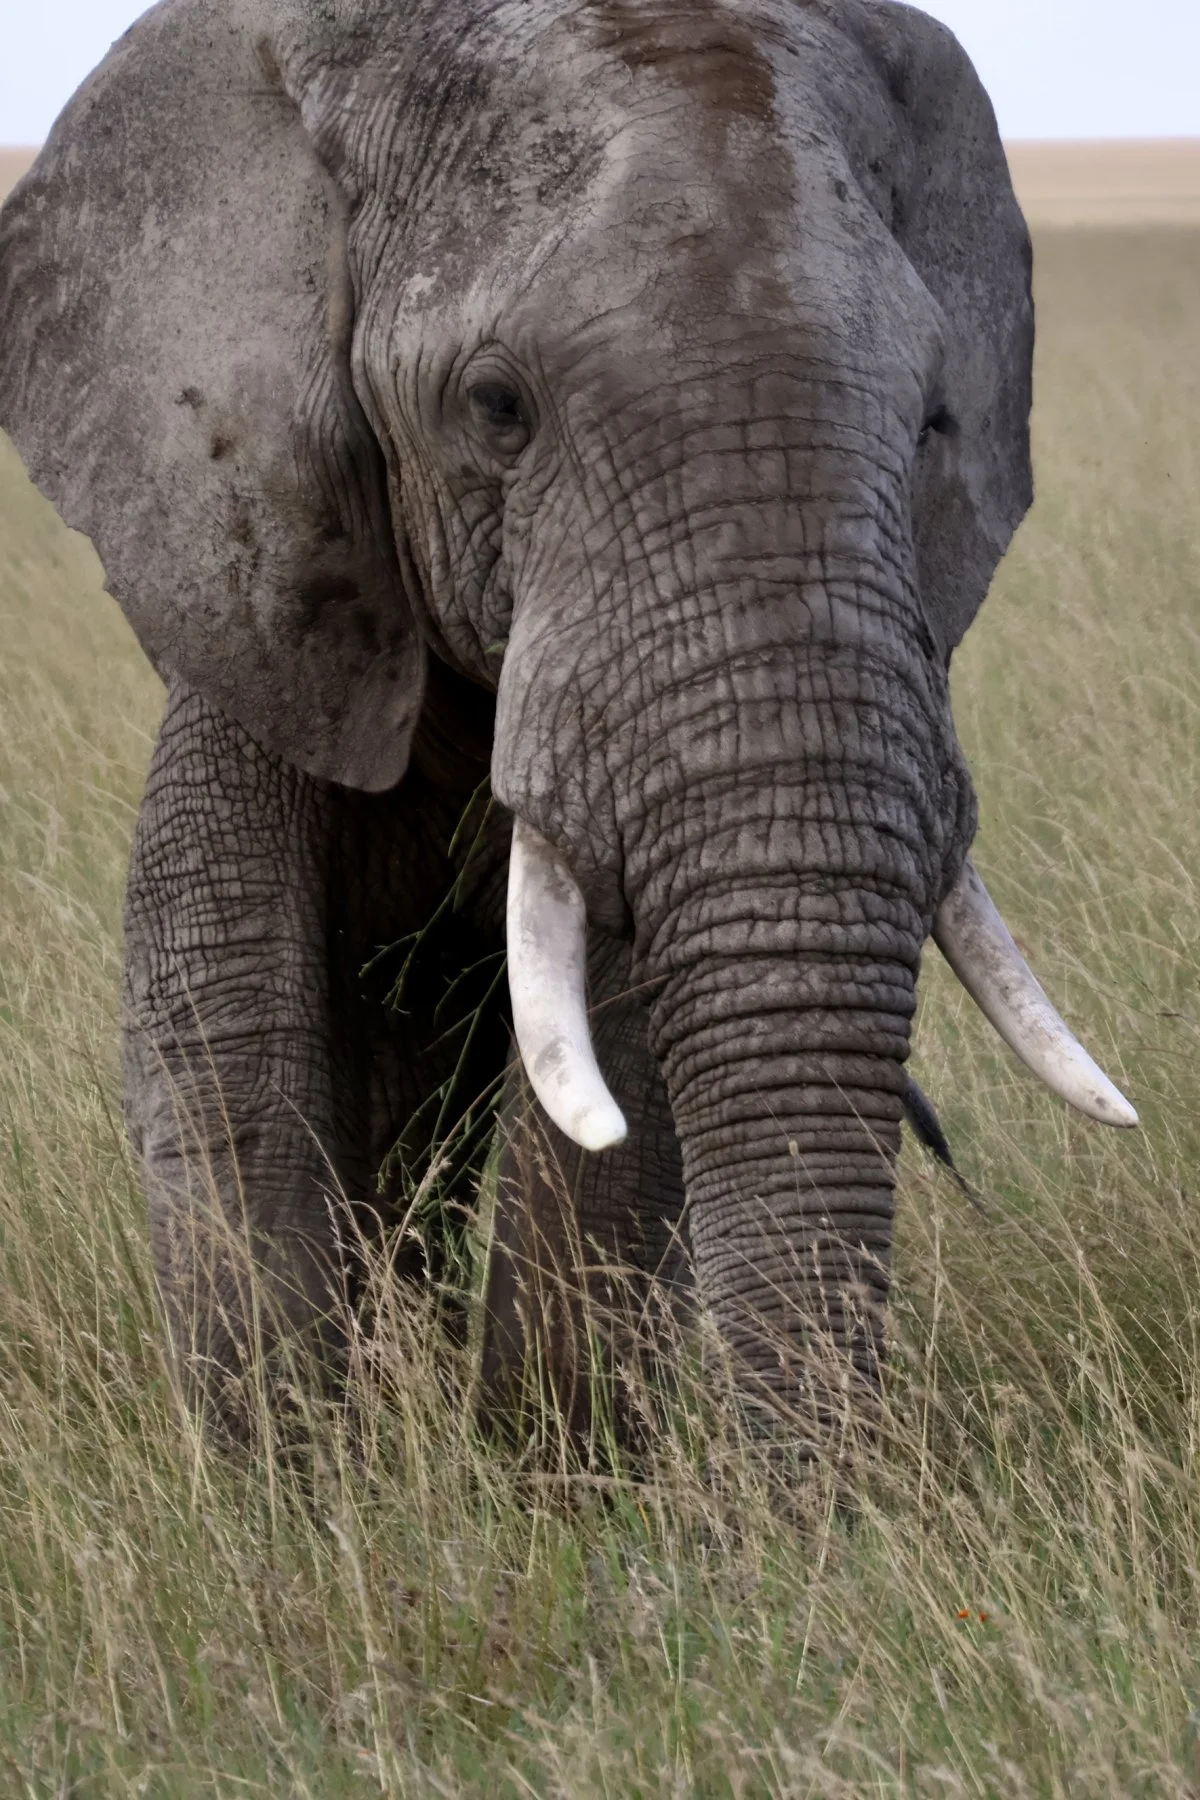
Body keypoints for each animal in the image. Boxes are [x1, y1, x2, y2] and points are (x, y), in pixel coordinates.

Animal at [0, 0, 1137, 1449]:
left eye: (936, 420)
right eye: (496, 407)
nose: (838, 1495)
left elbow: (625, 1071)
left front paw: (548, 1481)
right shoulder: (250, 559)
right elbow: (225, 999)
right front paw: (294, 1483)